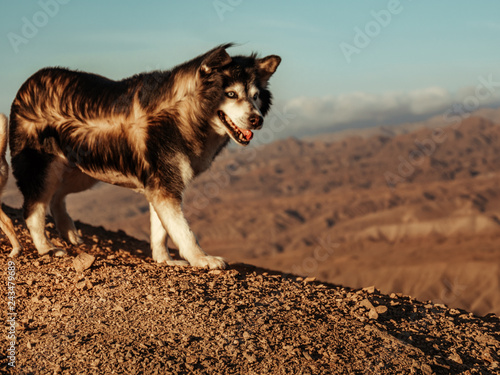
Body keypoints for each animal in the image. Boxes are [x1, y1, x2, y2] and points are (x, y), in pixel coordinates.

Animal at [9, 43, 282, 270]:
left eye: (256, 95)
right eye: (231, 94)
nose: (257, 120)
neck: (185, 112)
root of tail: (29, 83)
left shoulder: (161, 186)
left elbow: (161, 230)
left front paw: (165, 259)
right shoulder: (164, 186)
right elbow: (184, 231)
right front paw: (201, 258)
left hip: (84, 172)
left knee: (57, 196)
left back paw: (69, 232)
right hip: (44, 170)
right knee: (33, 211)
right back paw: (47, 248)